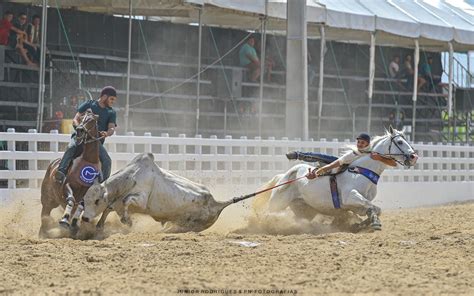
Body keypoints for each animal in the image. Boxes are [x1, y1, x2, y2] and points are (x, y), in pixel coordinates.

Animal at [82, 154, 236, 232]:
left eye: (96, 201)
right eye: (84, 200)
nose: (84, 218)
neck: (130, 178)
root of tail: (217, 203)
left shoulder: (141, 200)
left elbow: (127, 201)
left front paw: (127, 221)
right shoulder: (116, 203)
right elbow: (108, 209)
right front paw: (100, 225)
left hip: (196, 224)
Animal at [252, 127, 418, 231]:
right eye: (400, 142)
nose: (413, 157)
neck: (363, 170)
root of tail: (285, 176)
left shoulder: (354, 205)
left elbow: (374, 209)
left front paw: (361, 224)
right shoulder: (350, 196)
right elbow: (373, 207)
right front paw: (373, 223)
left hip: (304, 210)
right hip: (277, 203)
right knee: (267, 214)